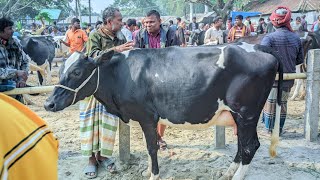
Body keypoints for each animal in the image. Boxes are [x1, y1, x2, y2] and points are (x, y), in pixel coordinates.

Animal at [45, 42, 282, 180]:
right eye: (61, 69)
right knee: (243, 144)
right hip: (239, 115)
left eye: (76, 72)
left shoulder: (148, 116)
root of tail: (259, 48)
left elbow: (152, 148)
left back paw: (236, 176)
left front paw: (154, 175)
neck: (120, 74)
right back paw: (228, 172)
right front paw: (147, 171)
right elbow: (149, 146)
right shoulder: (143, 118)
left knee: (251, 146)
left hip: (246, 112)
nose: (49, 104)